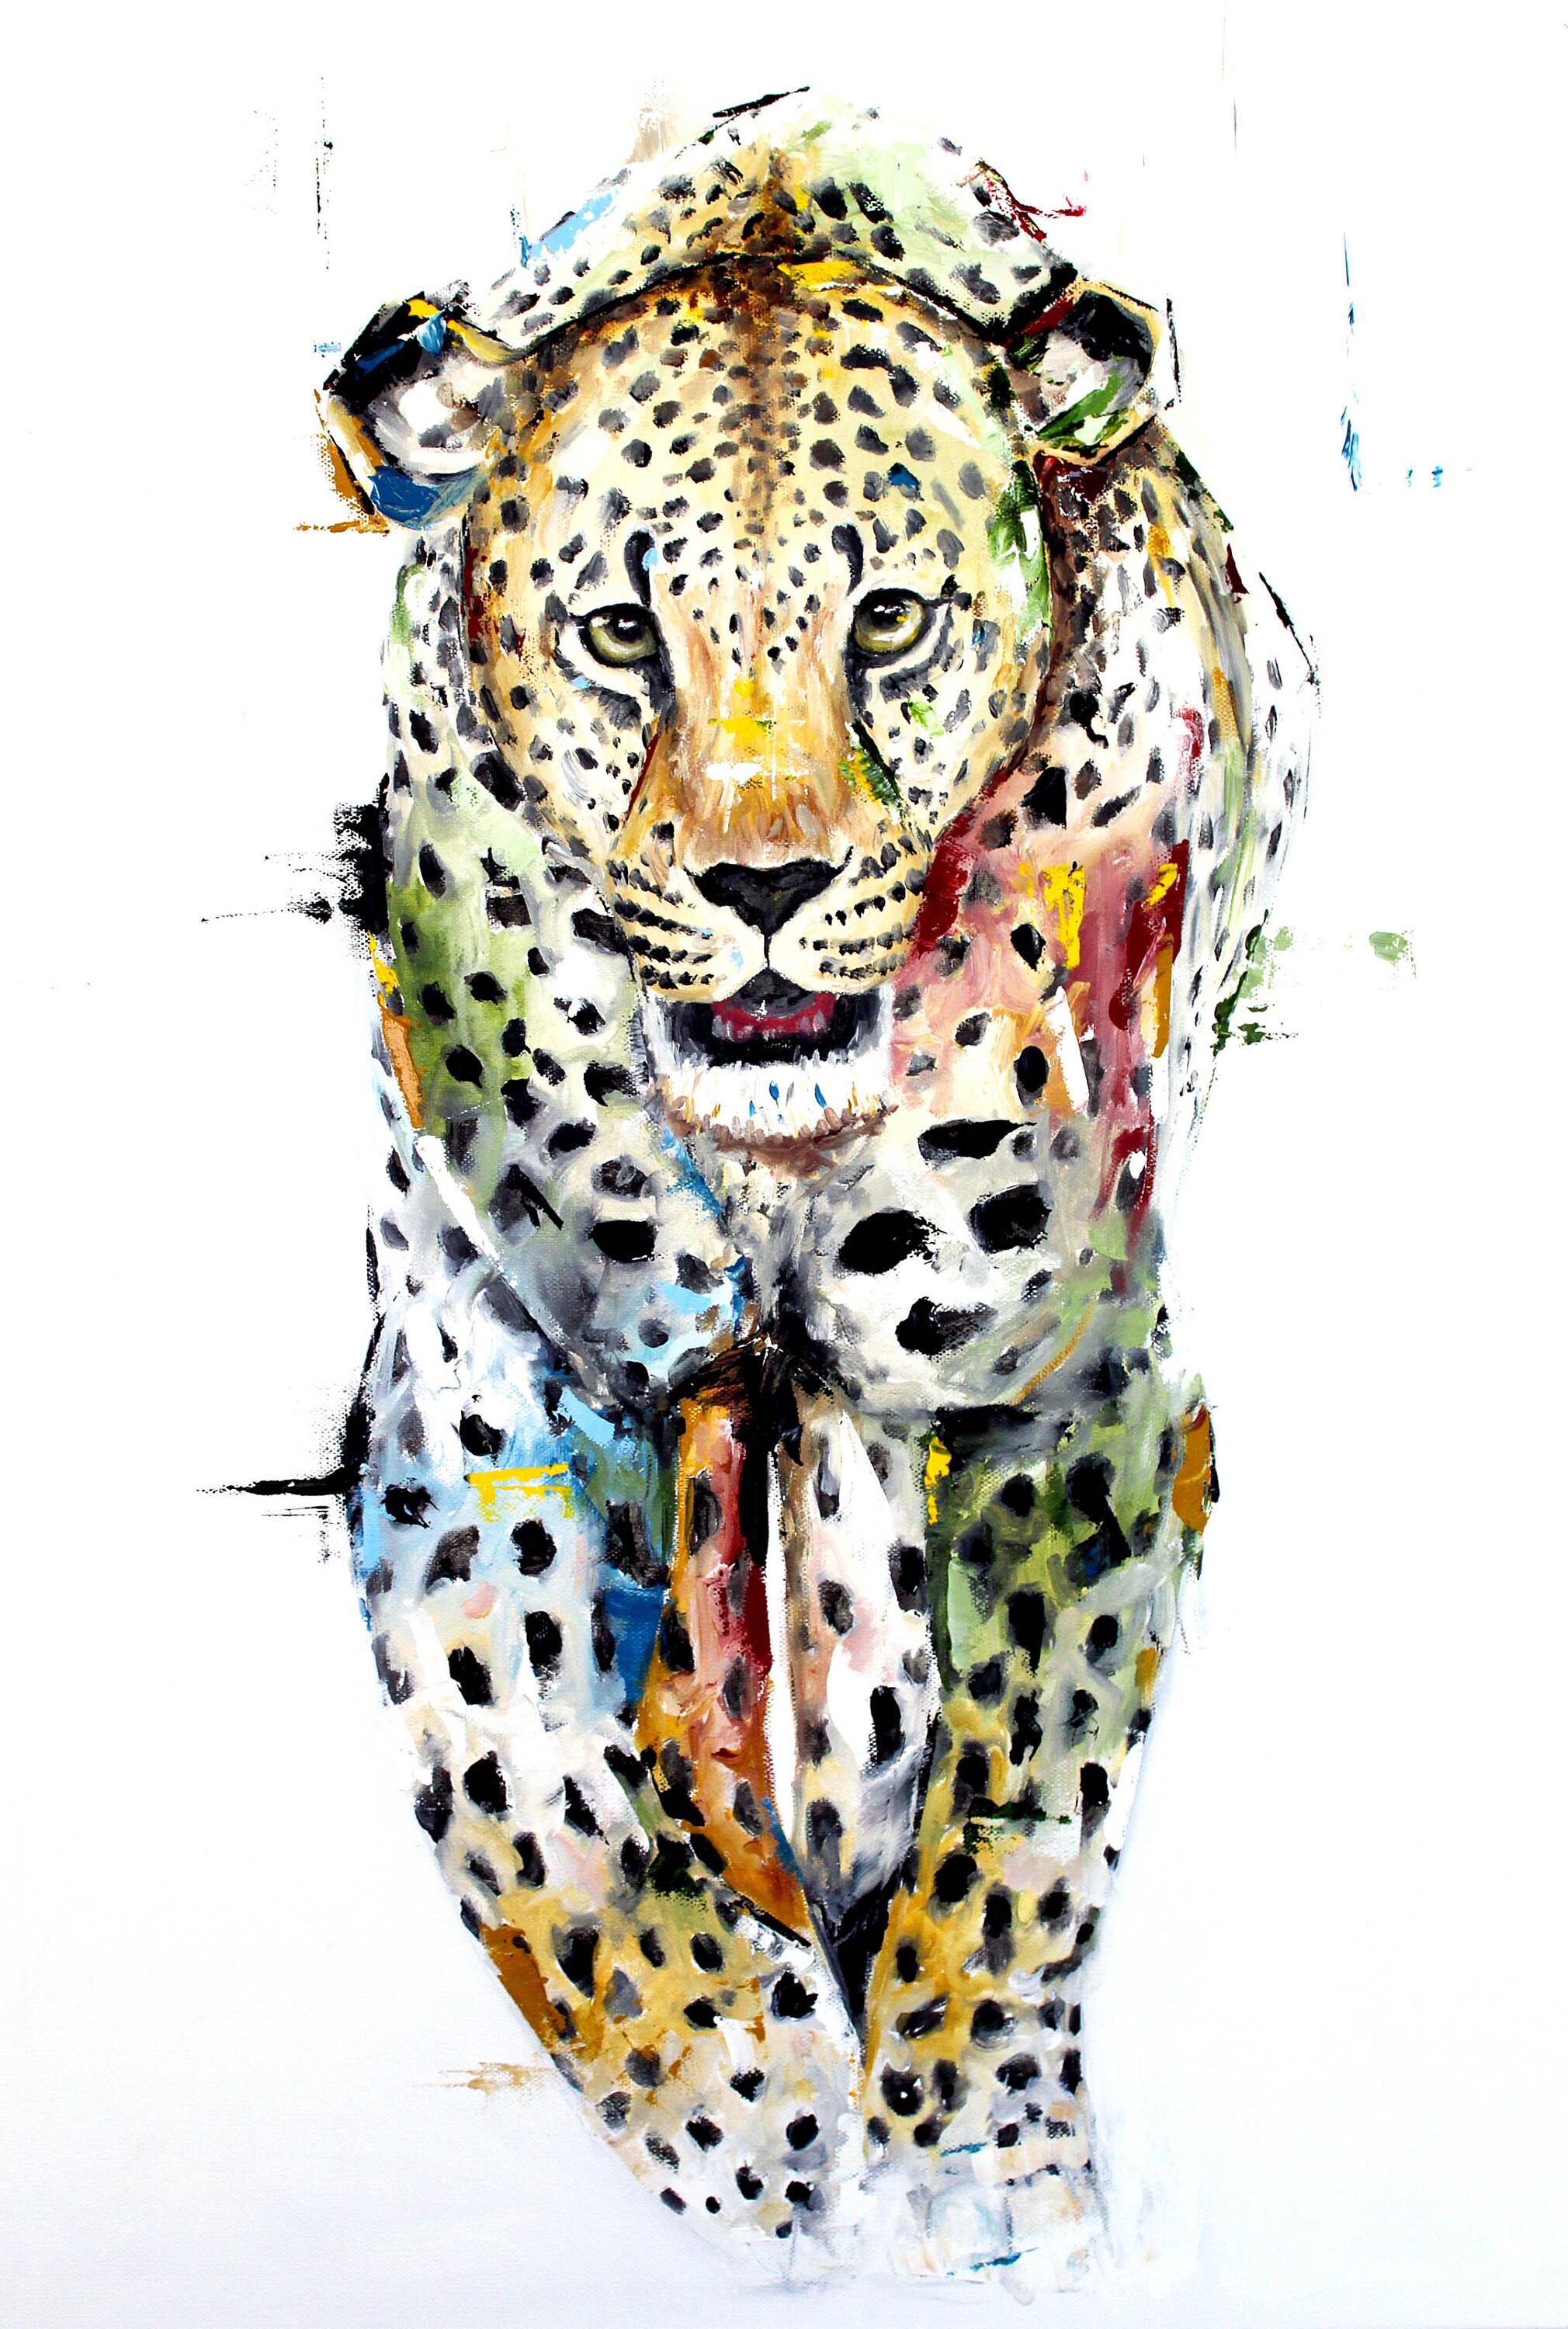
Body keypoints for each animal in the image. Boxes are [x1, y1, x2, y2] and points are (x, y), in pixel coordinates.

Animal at [320, 89, 1312, 2287]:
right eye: (621, 633)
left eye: (888, 623)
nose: (760, 884)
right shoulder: (477, 1381)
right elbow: (544, 1800)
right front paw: (746, 2123)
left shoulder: (1064, 1386)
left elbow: (1016, 1820)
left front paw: (973, 2173)